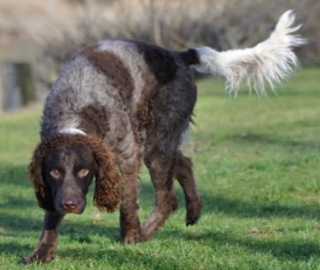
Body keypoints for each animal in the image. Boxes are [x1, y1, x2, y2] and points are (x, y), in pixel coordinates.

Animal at [24, 11, 304, 264]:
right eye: (54, 172)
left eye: (84, 171)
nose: (69, 204)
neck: (76, 109)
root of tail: (179, 55)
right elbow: (51, 217)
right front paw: (42, 251)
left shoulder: (127, 155)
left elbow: (128, 202)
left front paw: (131, 236)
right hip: (157, 139)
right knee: (184, 164)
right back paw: (193, 211)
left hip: (157, 140)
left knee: (167, 198)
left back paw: (145, 232)